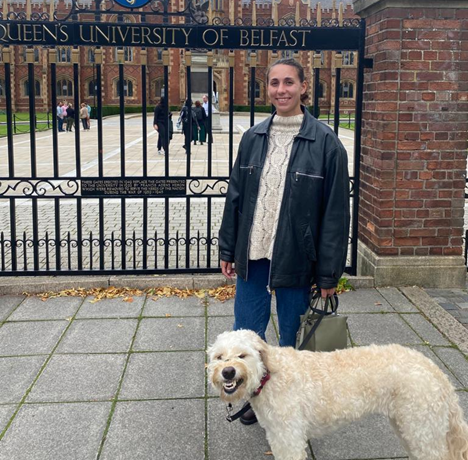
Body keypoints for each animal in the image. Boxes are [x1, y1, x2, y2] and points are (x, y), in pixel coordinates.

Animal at [209, 328, 468, 460]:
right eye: (219, 357)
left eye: (242, 355)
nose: (228, 372)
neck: (268, 376)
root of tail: (437, 372)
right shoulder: (277, 434)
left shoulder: (289, 437)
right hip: (410, 428)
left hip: (423, 430)